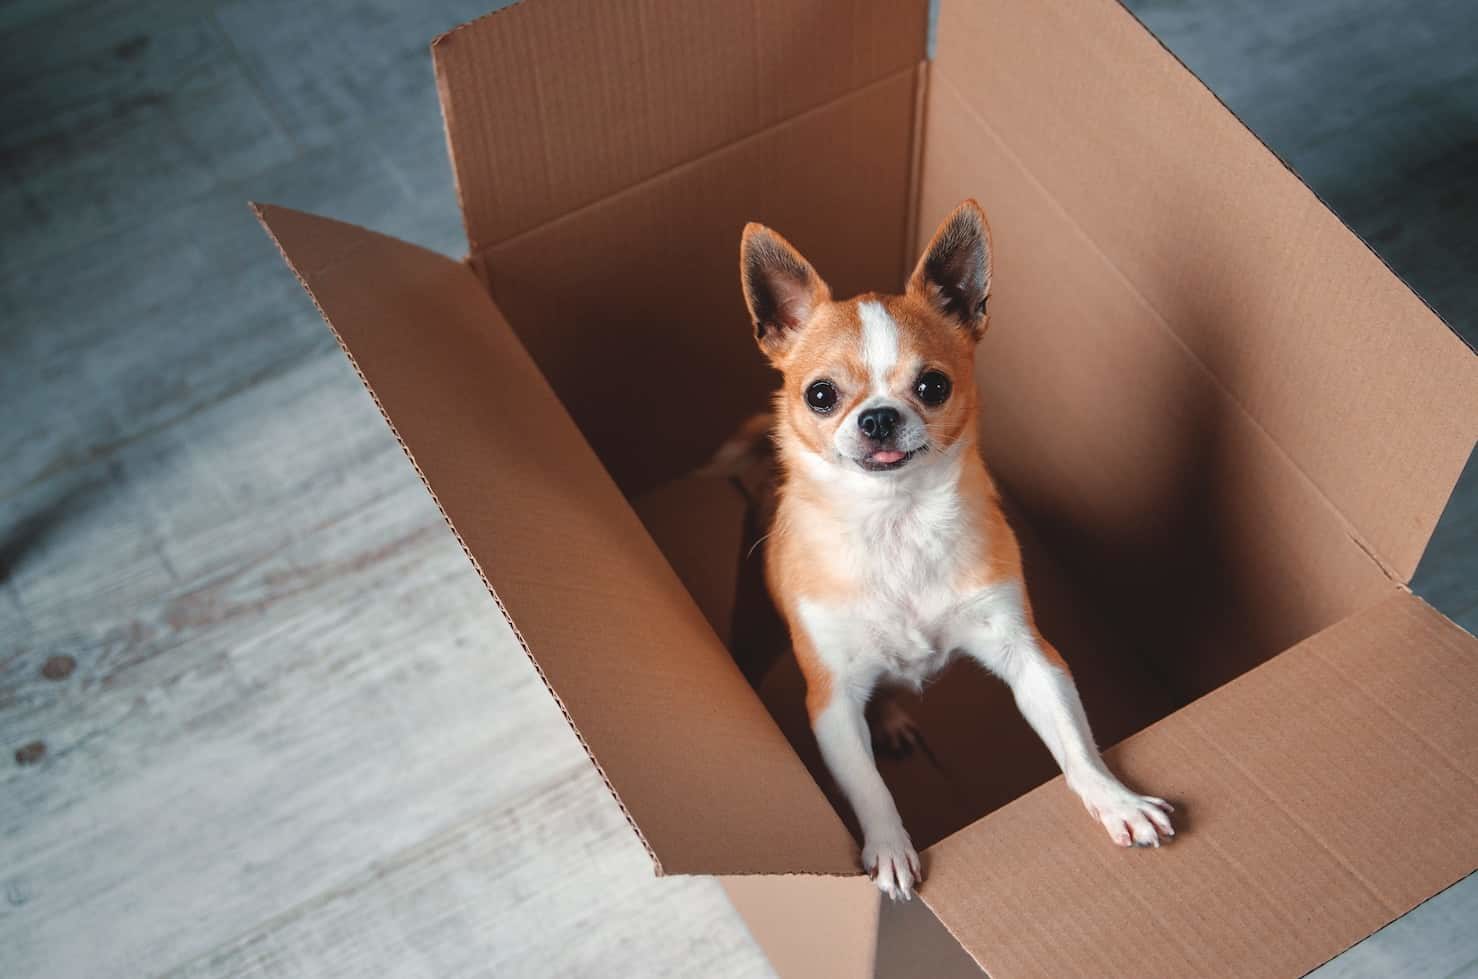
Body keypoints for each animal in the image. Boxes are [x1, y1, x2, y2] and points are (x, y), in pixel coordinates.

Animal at [733, 201, 1170, 905]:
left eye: (933, 386)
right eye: (820, 395)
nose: (879, 417)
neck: (897, 523)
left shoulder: (1031, 658)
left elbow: (1073, 740)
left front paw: (1115, 799)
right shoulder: (830, 700)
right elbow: (868, 786)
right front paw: (888, 849)